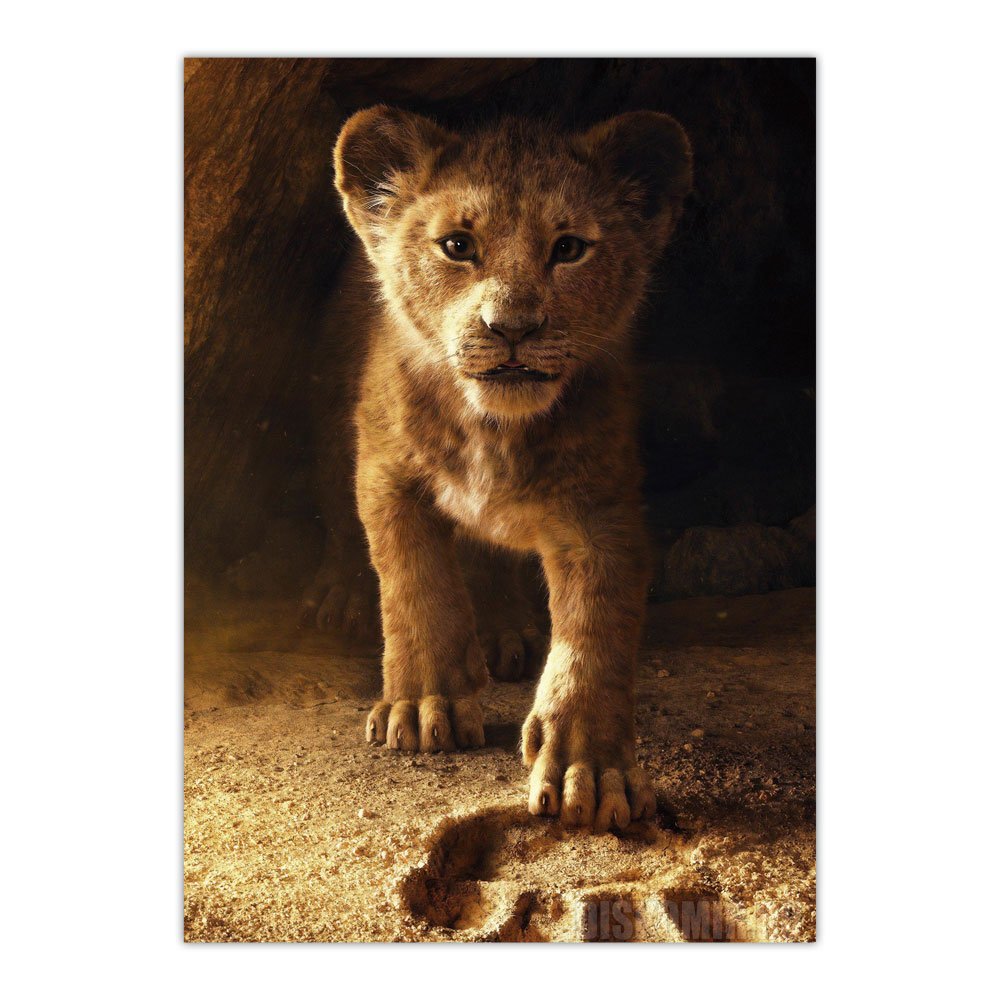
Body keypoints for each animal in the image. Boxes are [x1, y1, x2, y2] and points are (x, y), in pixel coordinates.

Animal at [317, 105, 692, 831]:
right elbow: (416, 584)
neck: (493, 428)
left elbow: (595, 631)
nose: (511, 327)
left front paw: (589, 768)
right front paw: (424, 705)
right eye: (457, 246)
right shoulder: (386, 473)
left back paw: (501, 629)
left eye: (569, 248)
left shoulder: (600, 509)